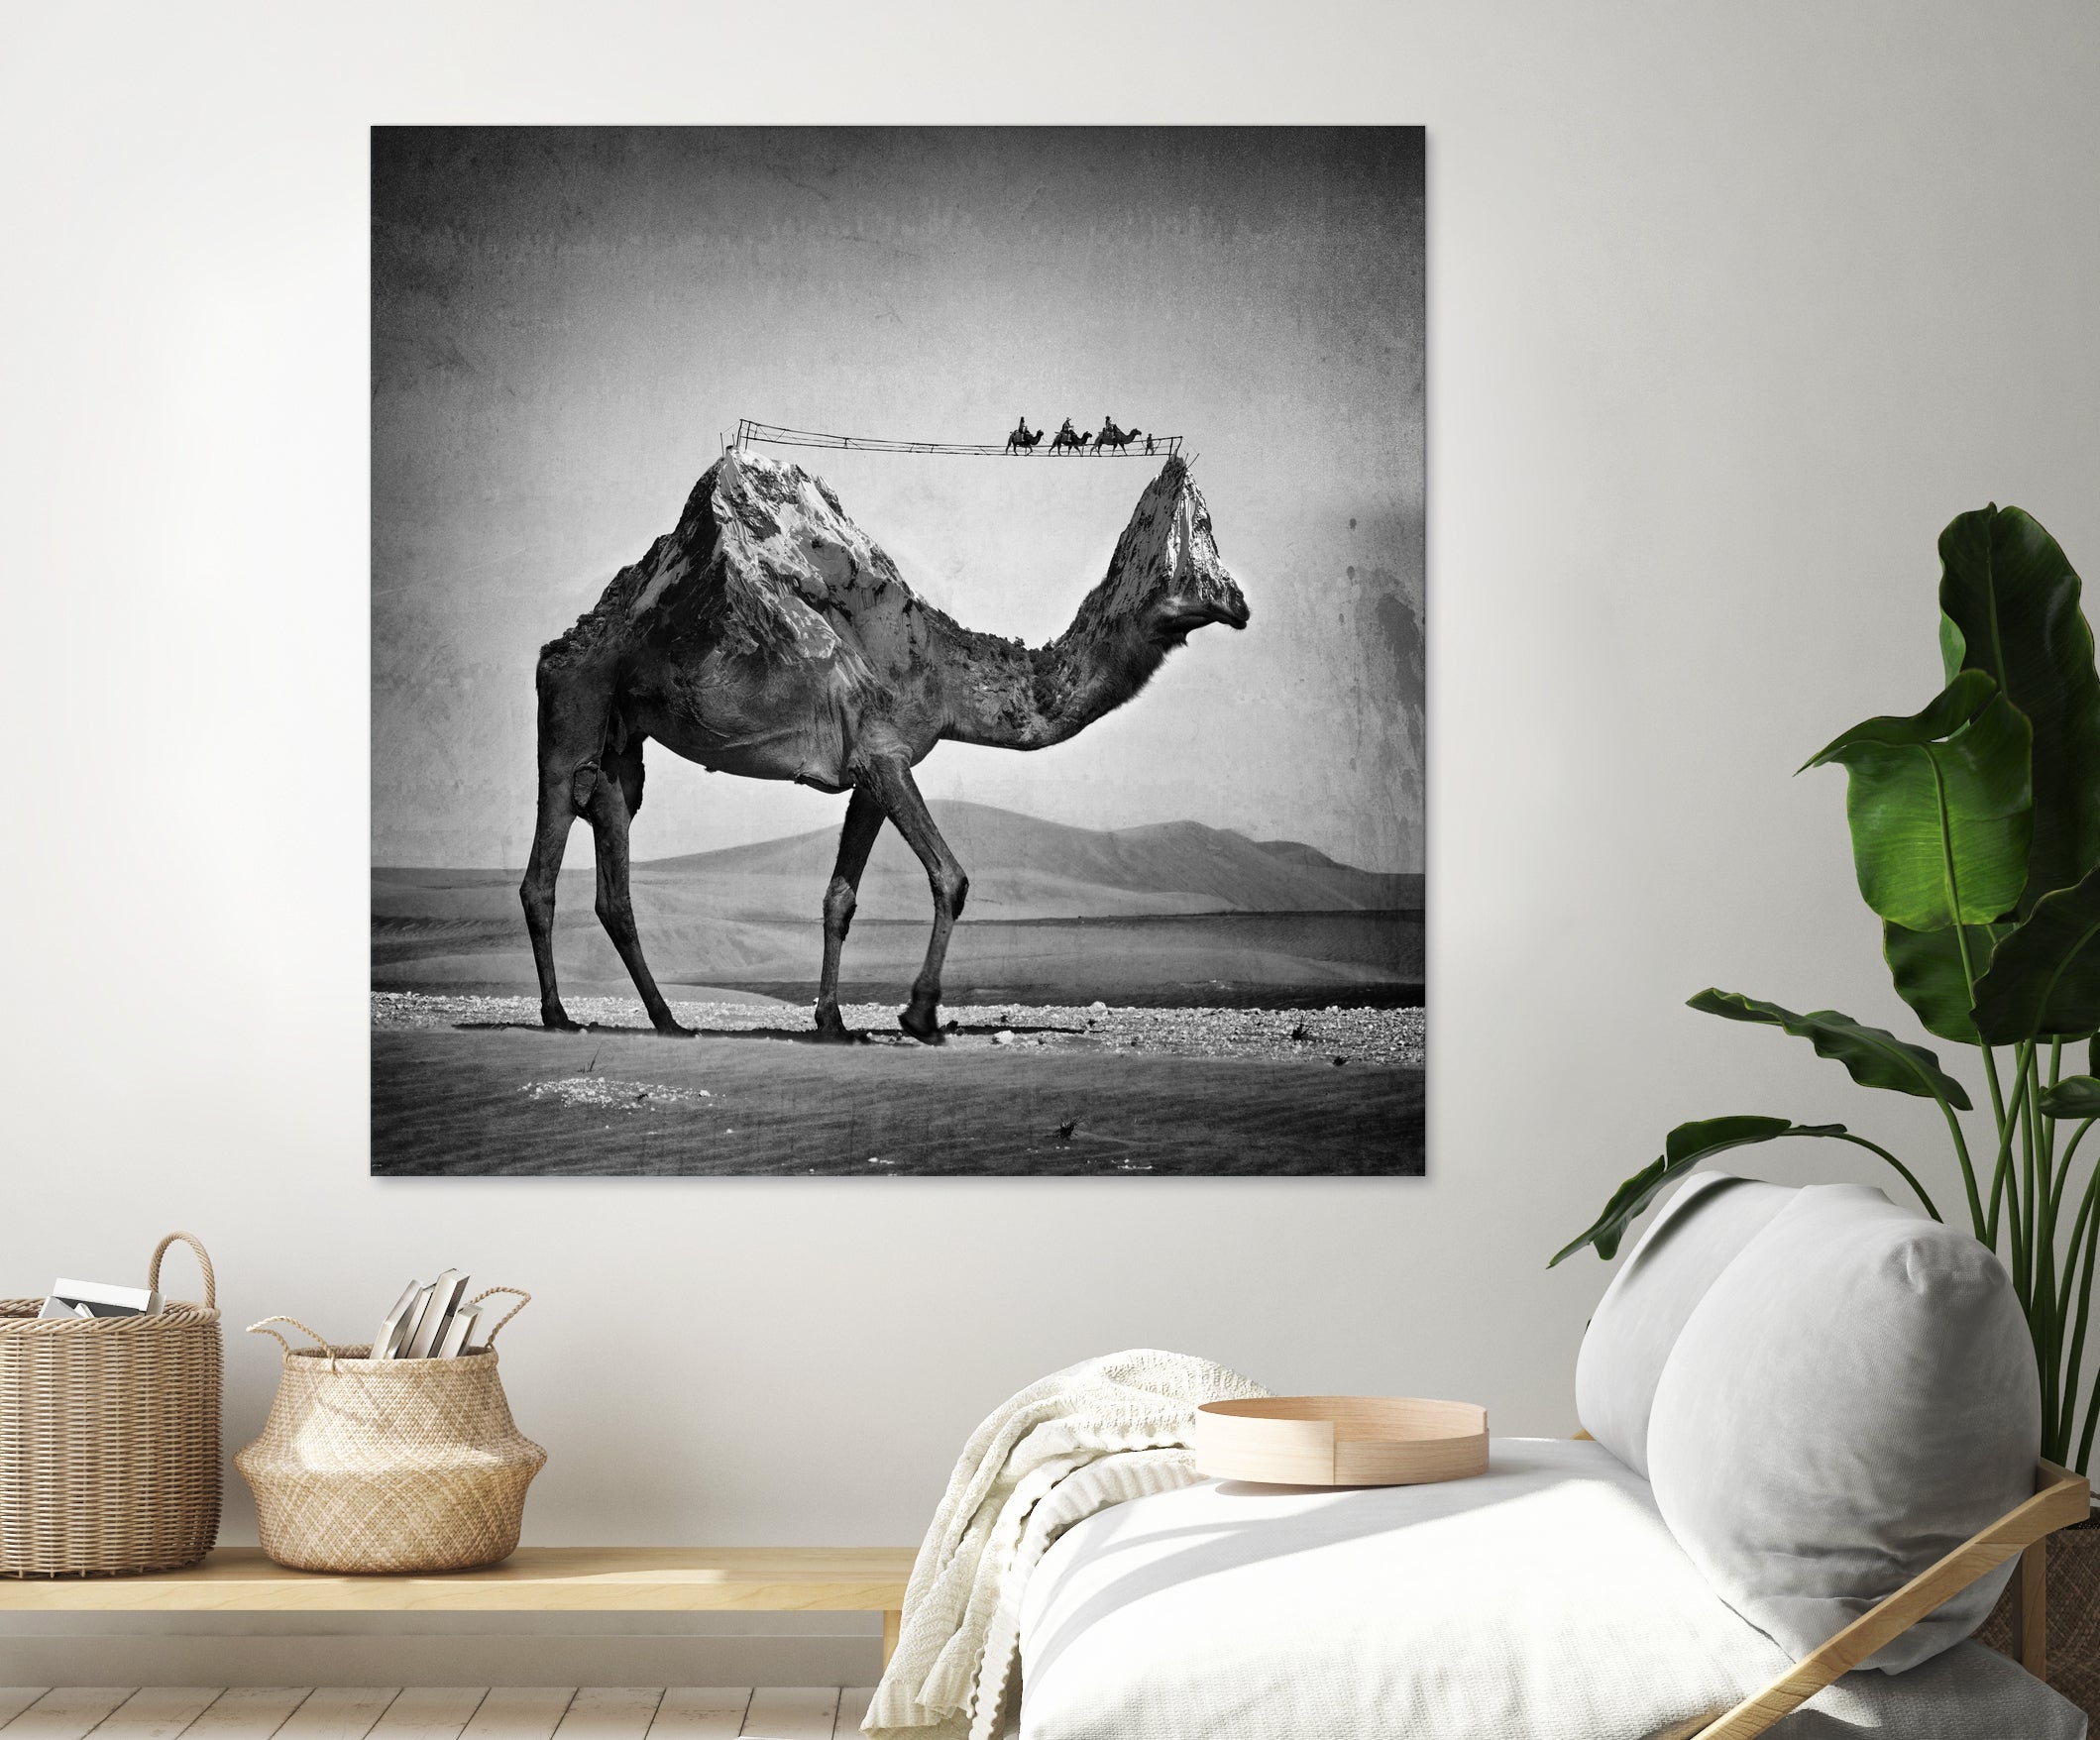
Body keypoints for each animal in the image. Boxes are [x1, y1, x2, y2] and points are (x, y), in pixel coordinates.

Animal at [521, 452, 1249, 1044]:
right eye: (1200, 547)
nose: (1242, 603)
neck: (943, 672)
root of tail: (559, 645)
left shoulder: (870, 775)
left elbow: (839, 899)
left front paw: (833, 1021)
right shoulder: (885, 756)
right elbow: (950, 877)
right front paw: (919, 1014)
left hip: (620, 742)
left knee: (613, 874)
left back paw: (667, 1019)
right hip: (572, 711)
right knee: (542, 872)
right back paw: (560, 1016)